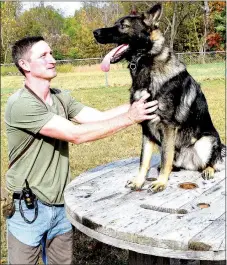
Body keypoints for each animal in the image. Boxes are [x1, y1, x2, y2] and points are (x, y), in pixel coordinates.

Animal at [93, 3, 225, 191]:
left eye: (123, 25)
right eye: (116, 23)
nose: (95, 32)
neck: (145, 63)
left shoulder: (168, 126)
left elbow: (165, 157)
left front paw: (161, 182)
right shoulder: (146, 128)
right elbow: (144, 160)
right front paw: (139, 181)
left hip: (206, 141)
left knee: (212, 162)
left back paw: (208, 170)